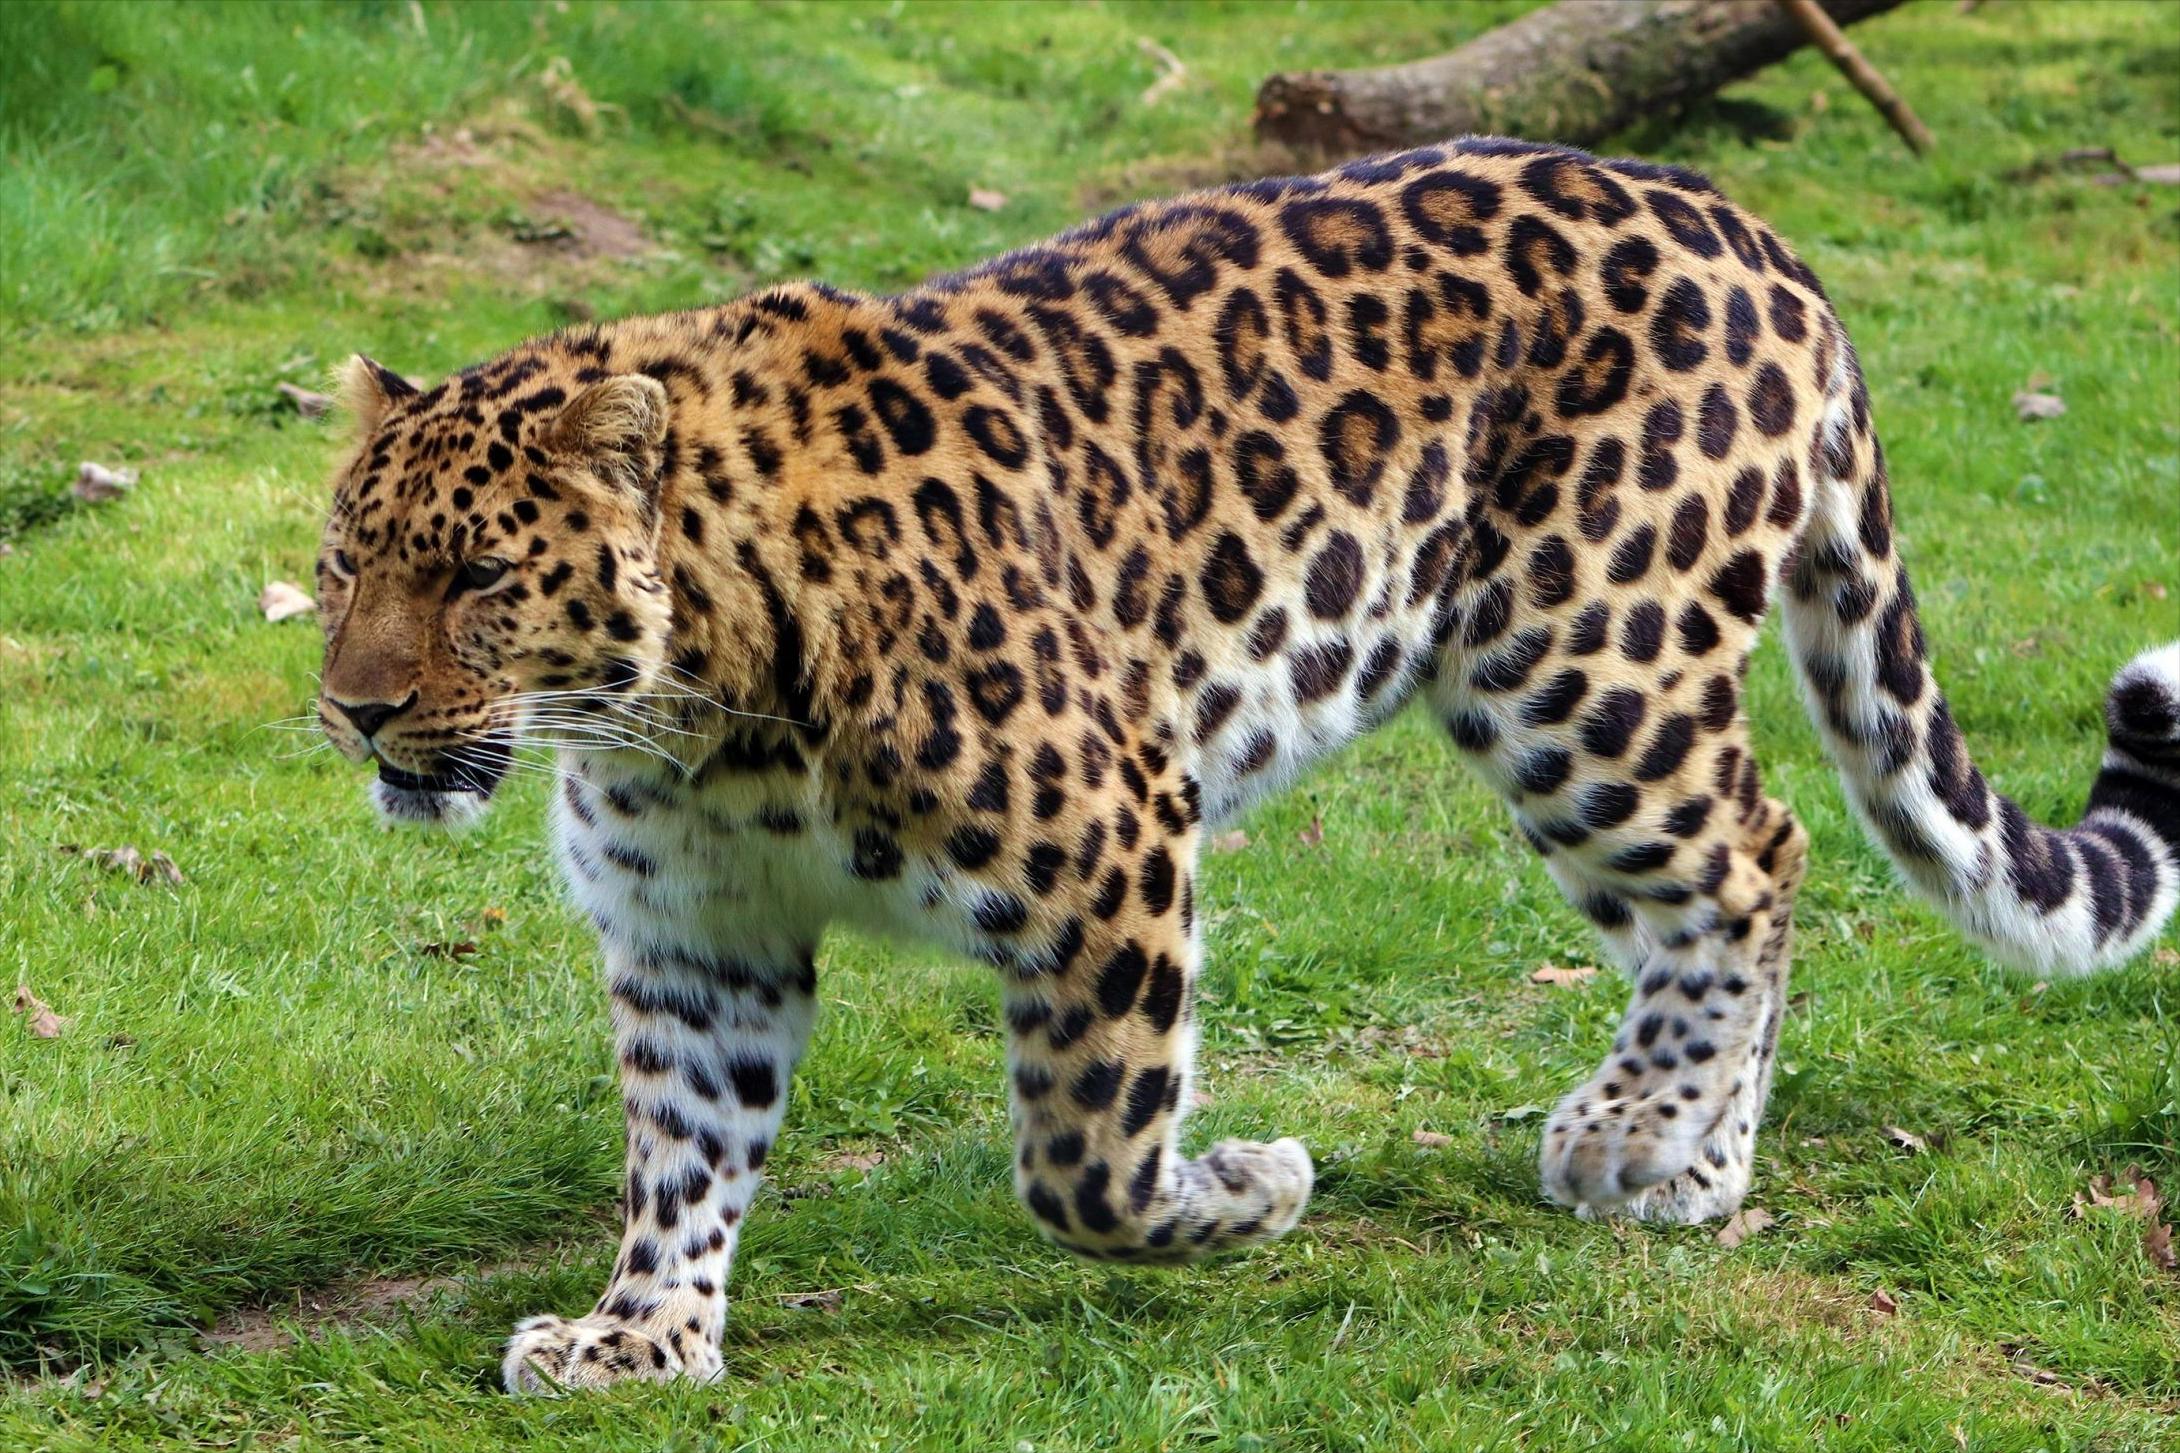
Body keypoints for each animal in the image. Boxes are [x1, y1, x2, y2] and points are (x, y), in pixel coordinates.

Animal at [311, 139, 2180, 1394]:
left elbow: (1084, 1159)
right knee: (1732, 868)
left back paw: (1645, 1127)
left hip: (1582, 658)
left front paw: (1246, 1190)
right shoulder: (697, 936)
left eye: (478, 579)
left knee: (1754, 853)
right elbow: (684, 1145)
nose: (356, 714)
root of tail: (1743, 223)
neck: (693, 716)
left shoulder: (1108, 833)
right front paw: (640, 1335)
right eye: (341, 567)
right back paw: (1701, 1161)